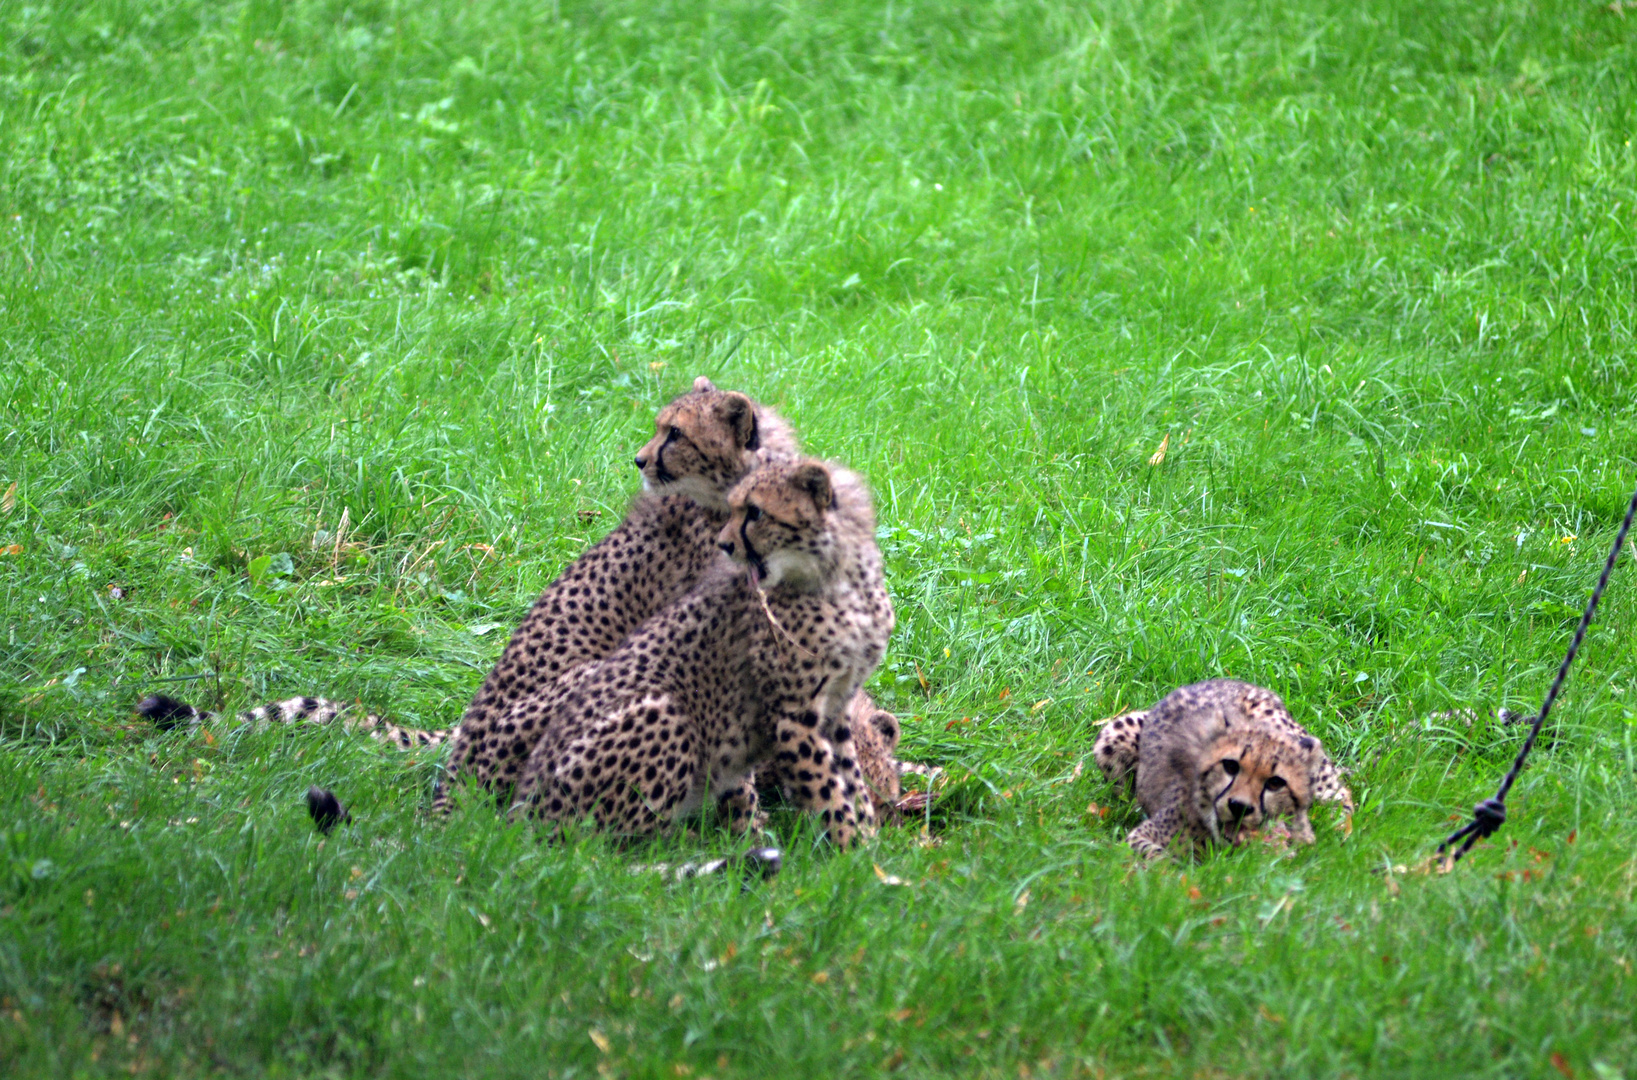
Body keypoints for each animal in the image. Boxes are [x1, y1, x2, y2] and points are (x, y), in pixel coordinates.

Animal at [510, 454, 897, 844]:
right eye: (739, 509)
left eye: (755, 512)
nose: (725, 544)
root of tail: (520, 811)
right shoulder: (791, 716)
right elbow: (825, 789)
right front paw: (849, 846)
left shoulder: (838, 706)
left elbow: (849, 779)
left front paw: (867, 841)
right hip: (663, 715)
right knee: (604, 842)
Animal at [1093, 680, 1348, 857]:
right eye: (1230, 766)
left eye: (1275, 782)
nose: (1240, 807)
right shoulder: (1143, 834)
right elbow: (1156, 857)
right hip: (1113, 735)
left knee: (1339, 792)